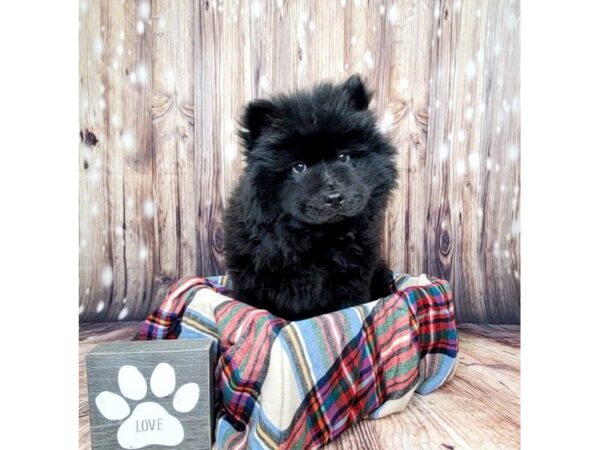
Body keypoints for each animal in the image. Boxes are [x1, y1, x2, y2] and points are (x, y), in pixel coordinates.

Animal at [223, 74, 396, 320]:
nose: (334, 197)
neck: (314, 239)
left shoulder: (353, 283)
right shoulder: (251, 284)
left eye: (343, 157)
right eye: (299, 167)